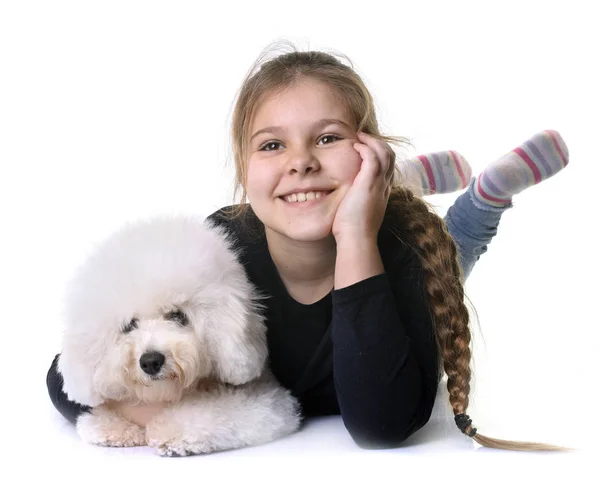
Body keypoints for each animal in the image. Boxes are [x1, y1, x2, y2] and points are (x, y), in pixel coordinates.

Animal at [56, 216, 300, 456]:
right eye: (129, 325)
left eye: (177, 315)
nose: (151, 362)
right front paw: (113, 426)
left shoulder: (268, 401)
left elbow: (215, 412)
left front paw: (171, 431)